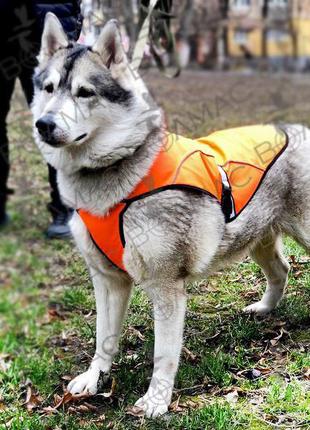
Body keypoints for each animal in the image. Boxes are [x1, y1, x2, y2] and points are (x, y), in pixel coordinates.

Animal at [32, 13, 310, 416]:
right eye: (49, 88)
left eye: (85, 92)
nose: (45, 124)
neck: (120, 174)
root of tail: (299, 128)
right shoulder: (108, 281)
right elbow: (104, 339)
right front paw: (95, 377)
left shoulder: (166, 287)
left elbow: (164, 354)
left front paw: (157, 399)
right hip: (258, 239)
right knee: (282, 270)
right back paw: (264, 308)